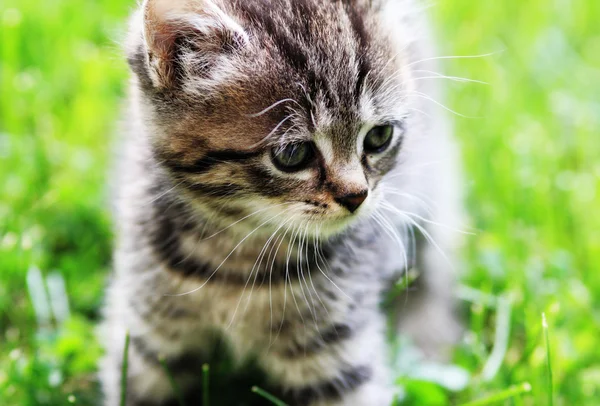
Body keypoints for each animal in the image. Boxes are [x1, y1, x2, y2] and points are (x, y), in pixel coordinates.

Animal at [101, 0, 462, 406]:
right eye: (293, 154)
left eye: (379, 136)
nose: (356, 195)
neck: (239, 258)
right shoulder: (145, 338)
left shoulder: (337, 346)